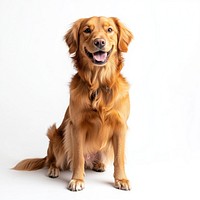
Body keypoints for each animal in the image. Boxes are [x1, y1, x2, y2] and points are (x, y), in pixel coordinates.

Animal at [13, 16, 133, 191]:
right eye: (87, 30)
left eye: (110, 29)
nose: (99, 42)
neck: (98, 83)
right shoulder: (76, 126)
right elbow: (78, 157)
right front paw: (77, 179)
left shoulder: (120, 126)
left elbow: (119, 158)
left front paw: (121, 179)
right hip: (56, 135)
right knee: (53, 160)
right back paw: (53, 169)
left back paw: (98, 164)